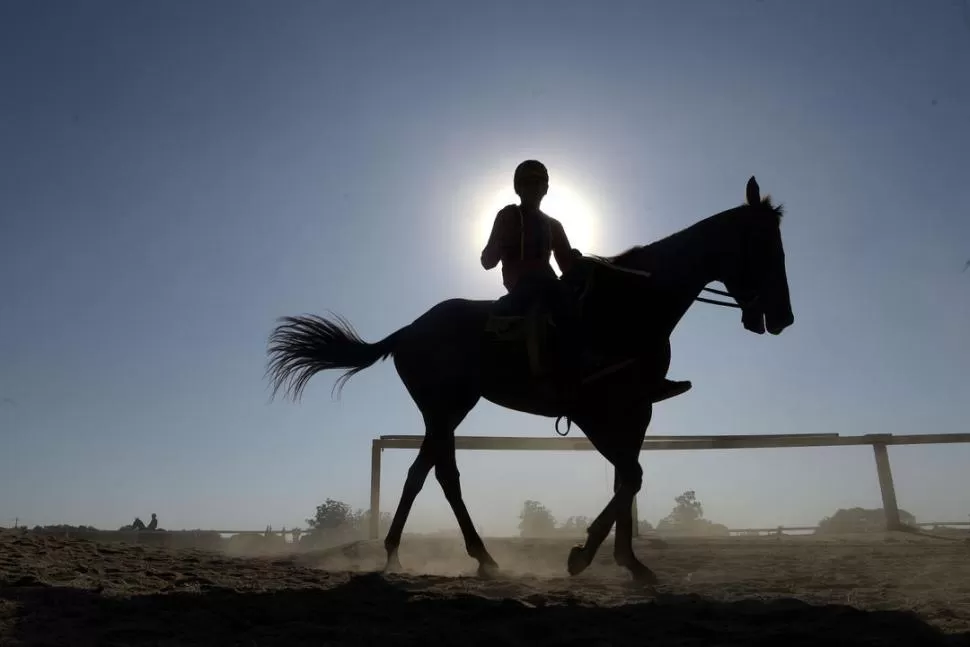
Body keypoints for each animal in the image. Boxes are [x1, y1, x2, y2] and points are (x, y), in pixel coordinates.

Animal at [266, 175, 796, 584]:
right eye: (764, 246)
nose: (783, 317)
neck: (628, 307)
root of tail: (407, 330)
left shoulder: (636, 409)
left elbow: (628, 478)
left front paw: (630, 562)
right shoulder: (591, 411)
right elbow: (631, 476)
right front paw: (582, 555)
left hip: (449, 410)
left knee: (426, 473)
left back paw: (422, 554)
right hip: (445, 408)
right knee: (440, 475)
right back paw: (464, 556)